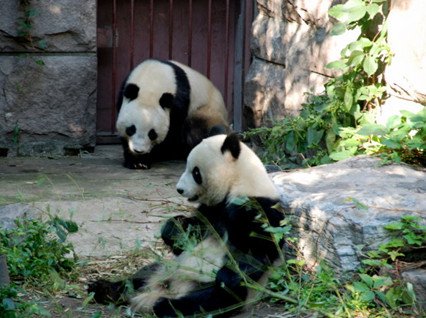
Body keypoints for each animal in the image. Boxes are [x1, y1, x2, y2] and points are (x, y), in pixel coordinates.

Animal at [88, 133, 284, 316]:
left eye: (195, 172)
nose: (179, 189)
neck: (238, 182)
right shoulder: (213, 210)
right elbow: (192, 232)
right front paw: (173, 228)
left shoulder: (255, 207)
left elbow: (259, 250)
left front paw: (228, 275)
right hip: (168, 266)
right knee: (144, 273)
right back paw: (104, 289)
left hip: (212, 286)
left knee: (212, 299)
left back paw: (167, 306)